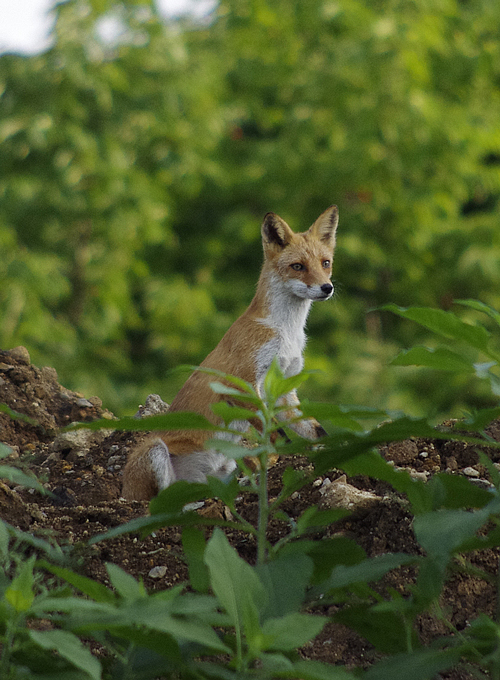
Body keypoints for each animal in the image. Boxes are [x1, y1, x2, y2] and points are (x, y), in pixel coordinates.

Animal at [122, 203, 340, 500]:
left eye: (325, 263)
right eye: (298, 266)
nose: (326, 288)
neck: (285, 332)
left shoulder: (284, 390)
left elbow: (317, 431)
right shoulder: (241, 384)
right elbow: (276, 438)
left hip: (222, 470)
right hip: (156, 451)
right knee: (157, 502)